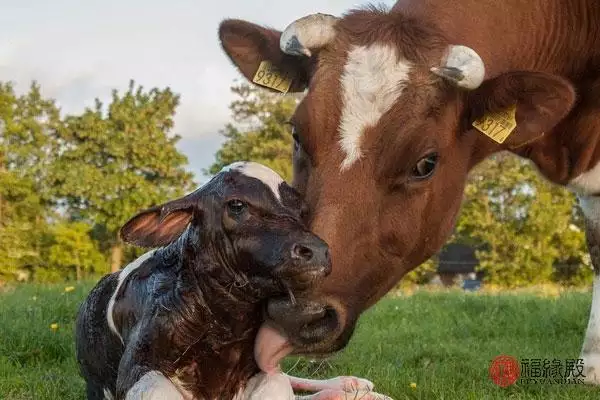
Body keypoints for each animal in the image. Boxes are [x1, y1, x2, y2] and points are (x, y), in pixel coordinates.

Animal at [75, 162, 392, 400]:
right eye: (237, 204)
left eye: (301, 211)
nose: (318, 251)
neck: (225, 322)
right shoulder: (138, 366)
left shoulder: (259, 369)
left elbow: (277, 383)